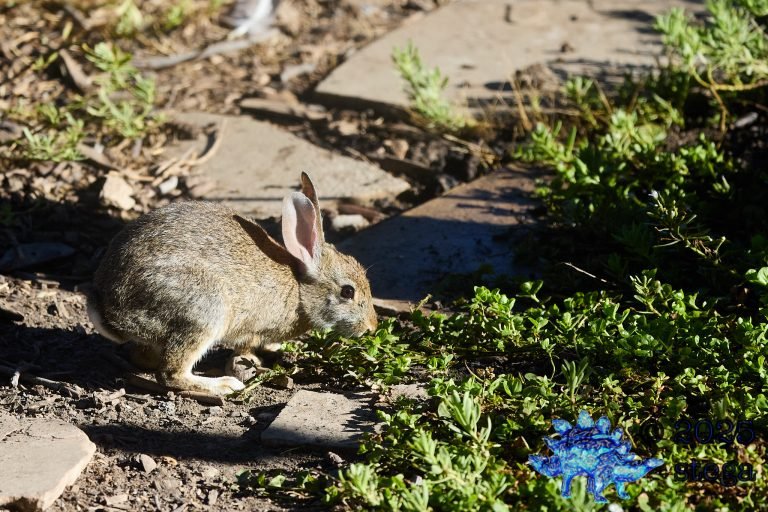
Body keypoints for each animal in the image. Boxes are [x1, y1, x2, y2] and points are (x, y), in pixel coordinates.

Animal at [87, 172, 378, 396]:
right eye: (347, 292)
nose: (371, 326)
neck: (299, 290)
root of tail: (109, 309)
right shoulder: (251, 328)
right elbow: (246, 345)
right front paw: (253, 360)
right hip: (204, 310)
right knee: (171, 373)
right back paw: (224, 385)